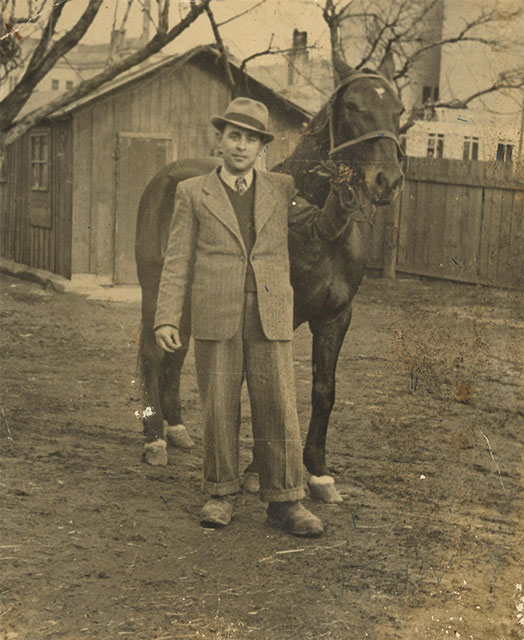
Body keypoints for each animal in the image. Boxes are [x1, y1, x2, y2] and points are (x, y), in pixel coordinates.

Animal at [135, 53, 406, 504]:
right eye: (353, 106)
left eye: (398, 110)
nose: (387, 181)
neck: (316, 226)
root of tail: (165, 176)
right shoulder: (274, 316)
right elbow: (266, 385)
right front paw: (255, 472)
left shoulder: (336, 317)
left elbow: (323, 390)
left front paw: (319, 473)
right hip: (158, 291)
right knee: (154, 355)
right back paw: (154, 438)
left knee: (176, 352)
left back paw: (176, 429)